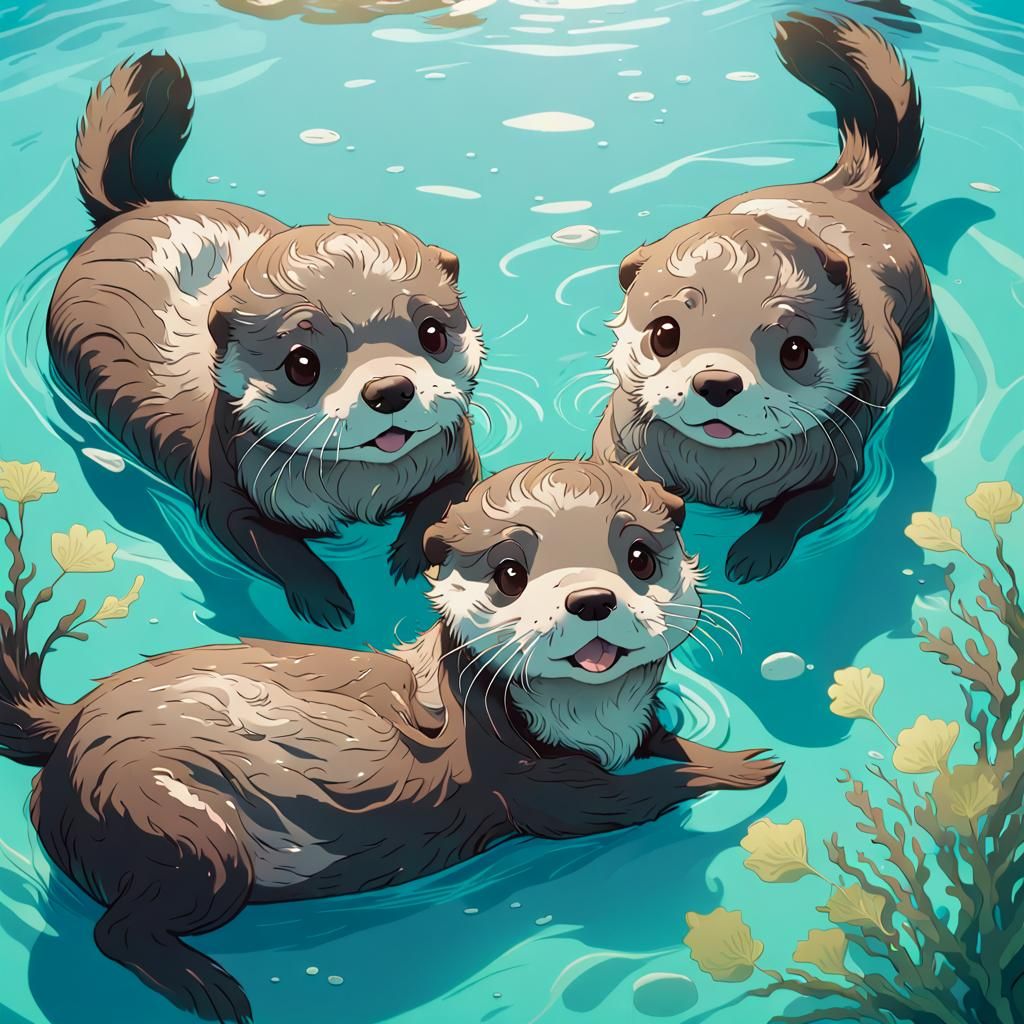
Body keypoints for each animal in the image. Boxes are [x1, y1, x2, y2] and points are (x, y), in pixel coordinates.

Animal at [0, 459, 779, 1023]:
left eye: (641, 556)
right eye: (510, 573)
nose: (591, 599)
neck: (591, 722)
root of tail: (69, 723)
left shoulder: (632, 730)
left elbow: (667, 743)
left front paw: (738, 754)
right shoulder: (531, 782)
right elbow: (635, 793)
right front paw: (739, 774)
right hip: (181, 828)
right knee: (116, 931)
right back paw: (209, 987)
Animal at [47, 54, 484, 627]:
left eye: (431, 332)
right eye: (302, 363)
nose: (389, 389)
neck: (361, 491)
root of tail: (131, 207)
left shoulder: (458, 453)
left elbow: (449, 497)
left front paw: (412, 554)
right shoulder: (225, 483)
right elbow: (264, 542)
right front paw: (324, 597)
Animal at [594, 15, 932, 582]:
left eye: (794, 350)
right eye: (664, 333)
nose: (717, 382)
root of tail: (845, 187)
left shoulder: (840, 466)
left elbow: (799, 509)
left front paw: (753, 555)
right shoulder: (617, 443)